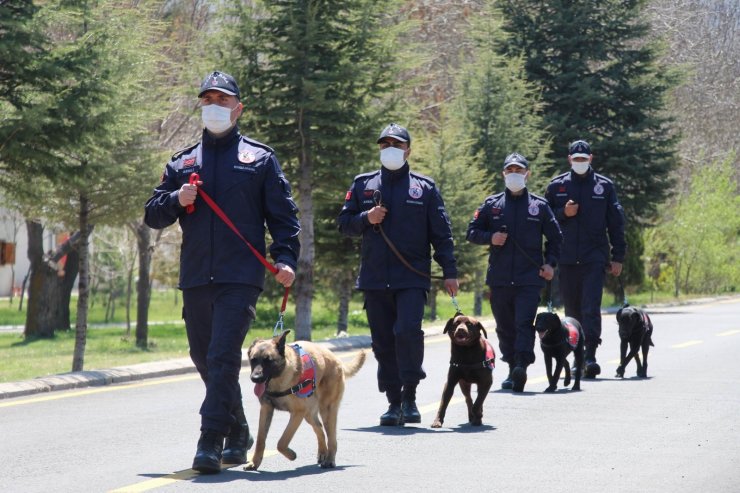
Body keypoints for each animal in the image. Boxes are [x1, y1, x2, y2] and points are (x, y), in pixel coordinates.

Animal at [246, 328, 368, 468]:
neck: (279, 379)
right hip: (309, 414)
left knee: (332, 438)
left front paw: (291, 455)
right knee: (319, 429)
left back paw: (330, 459)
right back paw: (322, 453)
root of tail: (337, 360)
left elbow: (282, 441)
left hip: (326, 411)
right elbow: (260, 439)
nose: (255, 378)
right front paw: (254, 463)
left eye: (268, 360)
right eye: (253, 360)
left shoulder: (297, 413)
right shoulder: (266, 409)